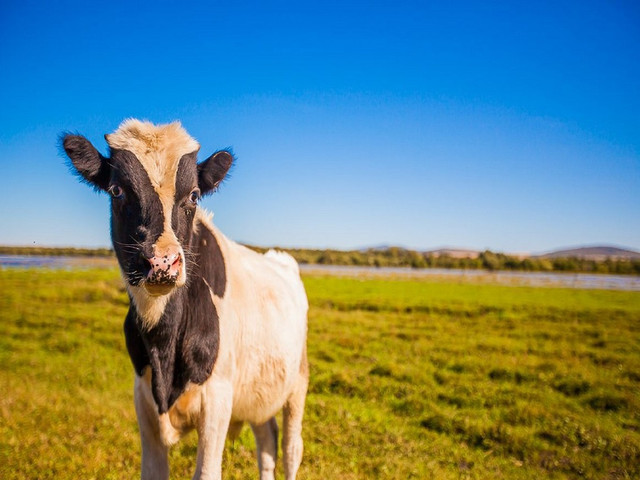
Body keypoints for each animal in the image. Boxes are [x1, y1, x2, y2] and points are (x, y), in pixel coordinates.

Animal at [62, 120, 310, 480]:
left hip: (298, 381)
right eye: (116, 190)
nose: (162, 262)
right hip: (257, 393)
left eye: (194, 194)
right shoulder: (143, 399)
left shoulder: (218, 399)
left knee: (291, 448)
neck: (163, 344)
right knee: (266, 442)